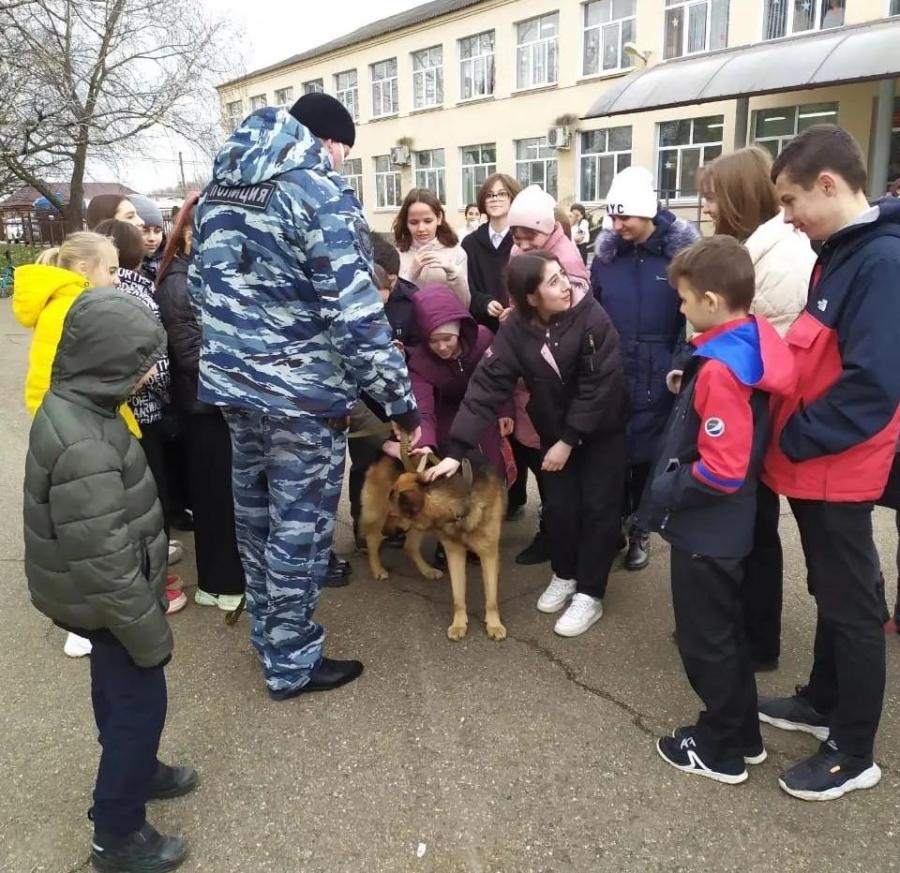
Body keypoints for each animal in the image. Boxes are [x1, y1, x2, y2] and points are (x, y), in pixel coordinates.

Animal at [362, 456, 510, 640]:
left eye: (394, 515)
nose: (384, 531)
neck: (462, 502)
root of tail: (383, 457)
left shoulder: (488, 554)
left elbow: (491, 598)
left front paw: (494, 624)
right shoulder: (454, 553)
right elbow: (458, 596)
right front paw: (459, 624)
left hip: (415, 527)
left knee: (409, 546)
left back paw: (427, 571)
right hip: (382, 517)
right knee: (372, 540)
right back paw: (377, 569)